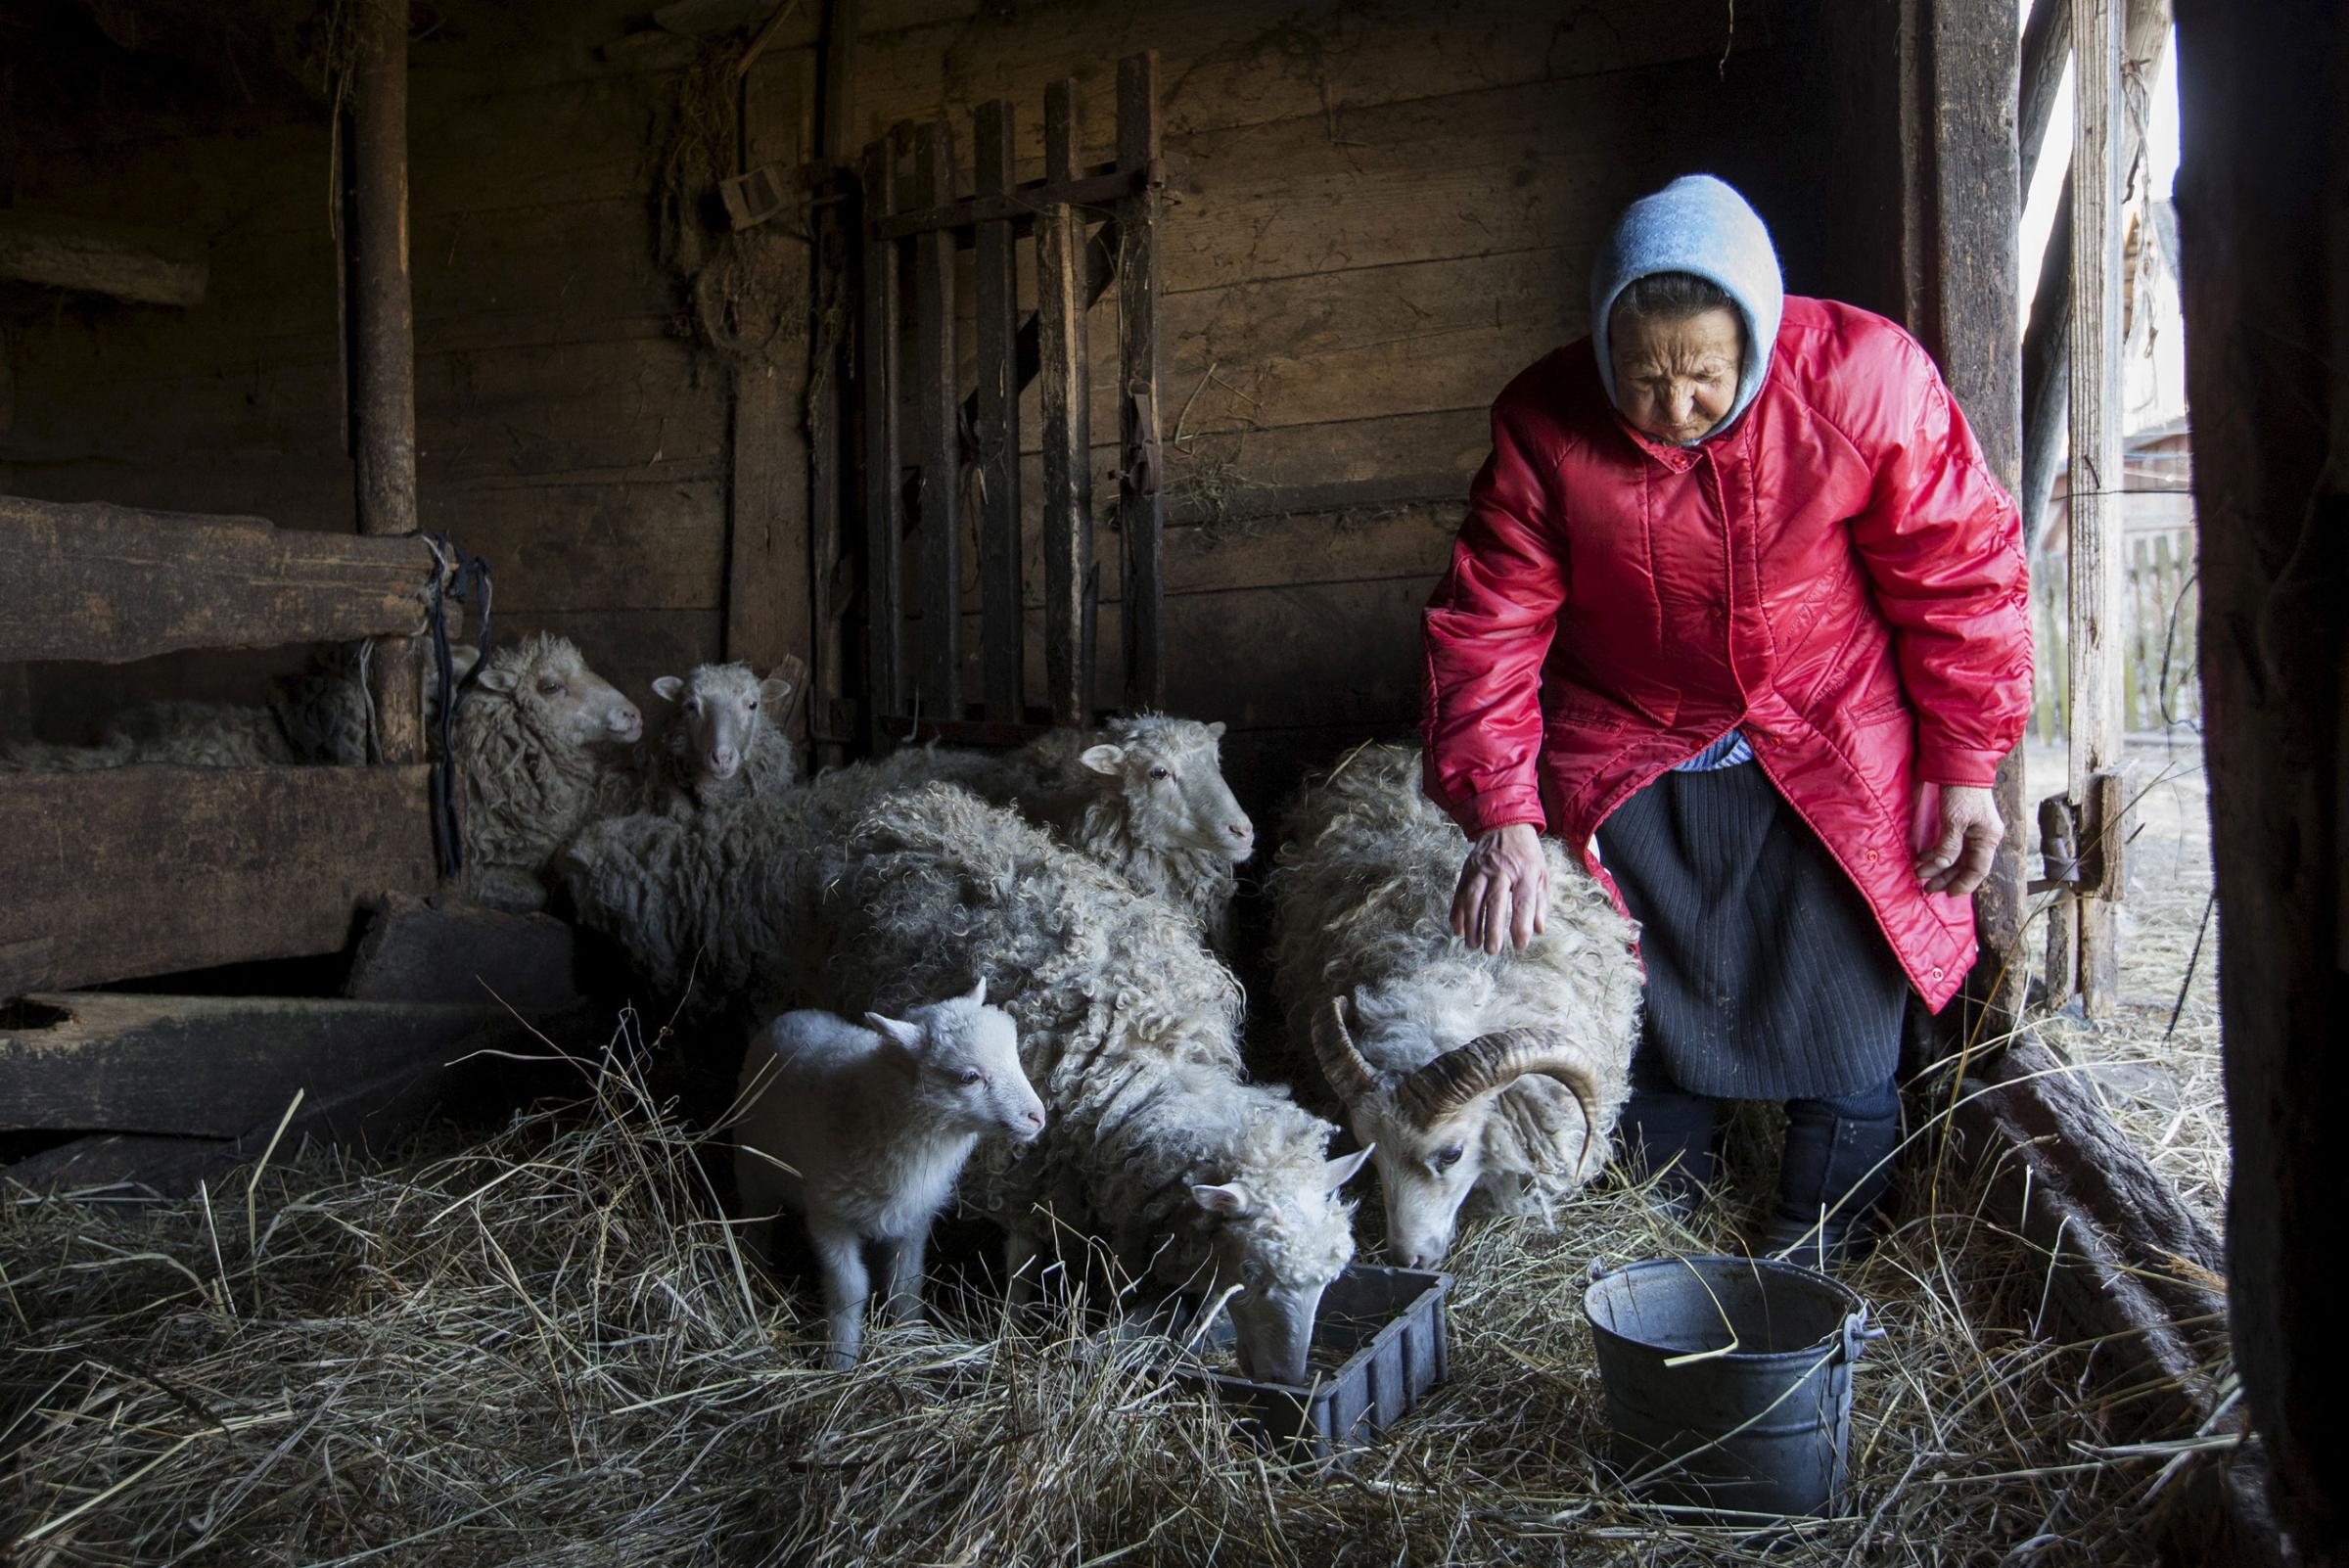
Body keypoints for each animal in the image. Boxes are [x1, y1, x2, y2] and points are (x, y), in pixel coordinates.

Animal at [732, 986, 1047, 1360]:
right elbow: (850, 1289)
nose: (1038, 1116)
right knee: (754, 1221)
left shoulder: (913, 1217)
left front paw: (910, 1336)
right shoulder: (828, 1216)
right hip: (752, 1165)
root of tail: (792, 1016)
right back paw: (753, 1272)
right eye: (969, 1077)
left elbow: (906, 1283)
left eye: (1015, 1056)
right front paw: (842, 1357)